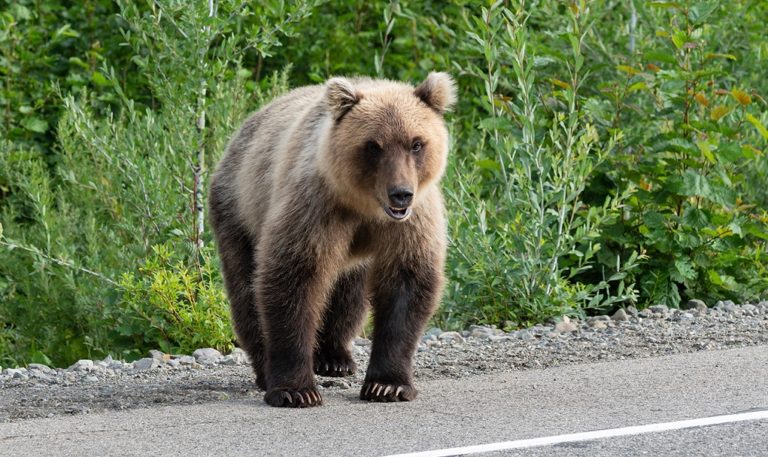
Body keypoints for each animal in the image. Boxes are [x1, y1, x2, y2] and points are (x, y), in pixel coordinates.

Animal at [207, 71, 452, 406]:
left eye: (416, 143)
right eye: (374, 146)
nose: (401, 193)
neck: (364, 207)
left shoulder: (411, 223)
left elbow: (406, 283)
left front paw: (387, 385)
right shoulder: (316, 207)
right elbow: (294, 278)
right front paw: (296, 390)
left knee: (349, 292)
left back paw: (335, 358)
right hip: (238, 210)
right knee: (246, 290)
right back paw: (265, 368)